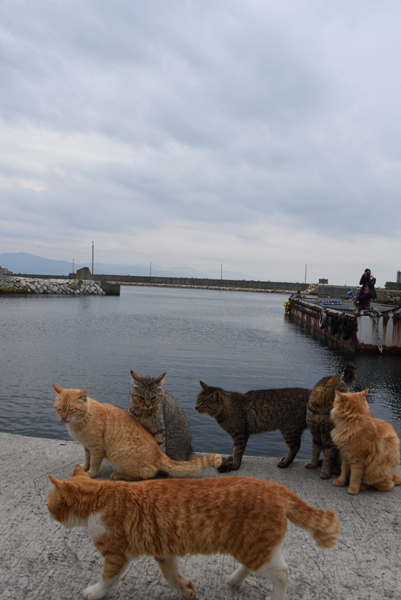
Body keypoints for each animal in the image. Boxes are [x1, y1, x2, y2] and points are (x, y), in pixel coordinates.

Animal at [48, 464, 340, 600]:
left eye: (50, 503)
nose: (48, 511)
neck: (99, 496)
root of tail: (277, 487)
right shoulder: (163, 551)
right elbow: (171, 576)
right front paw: (186, 588)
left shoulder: (116, 556)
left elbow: (106, 579)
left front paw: (94, 592)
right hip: (253, 547)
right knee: (257, 566)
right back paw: (235, 579)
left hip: (256, 549)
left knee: (283, 573)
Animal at [52, 386, 222, 480]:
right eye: (59, 409)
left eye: (71, 410)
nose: (63, 418)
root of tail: (160, 454)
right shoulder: (86, 447)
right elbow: (87, 460)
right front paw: (83, 468)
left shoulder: (96, 448)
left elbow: (94, 464)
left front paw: (89, 475)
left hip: (117, 456)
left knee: (146, 475)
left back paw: (118, 476)